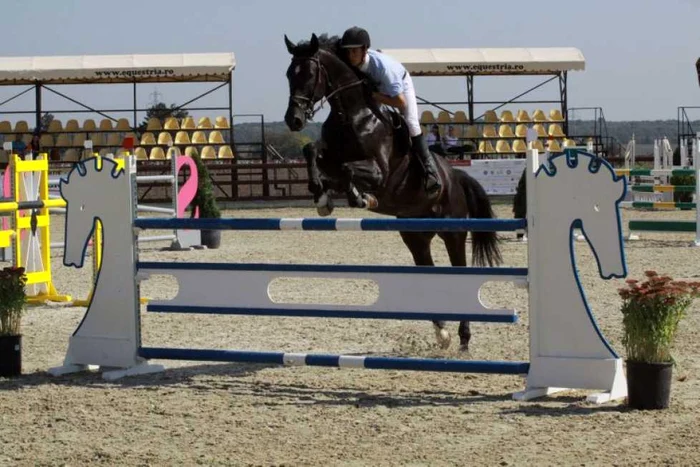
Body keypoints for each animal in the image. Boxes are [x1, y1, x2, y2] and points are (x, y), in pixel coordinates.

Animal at [282, 34, 500, 352]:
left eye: (310, 74)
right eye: (289, 75)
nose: (293, 120)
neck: (353, 114)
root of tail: (455, 176)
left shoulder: (380, 173)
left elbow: (349, 170)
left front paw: (359, 197)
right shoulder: (329, 157)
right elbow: (313, 152)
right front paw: (321, 196)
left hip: (453, 231)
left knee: (459, 270)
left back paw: (463, 337)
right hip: (415, 236)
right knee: (428, 269)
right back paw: (442, 332)